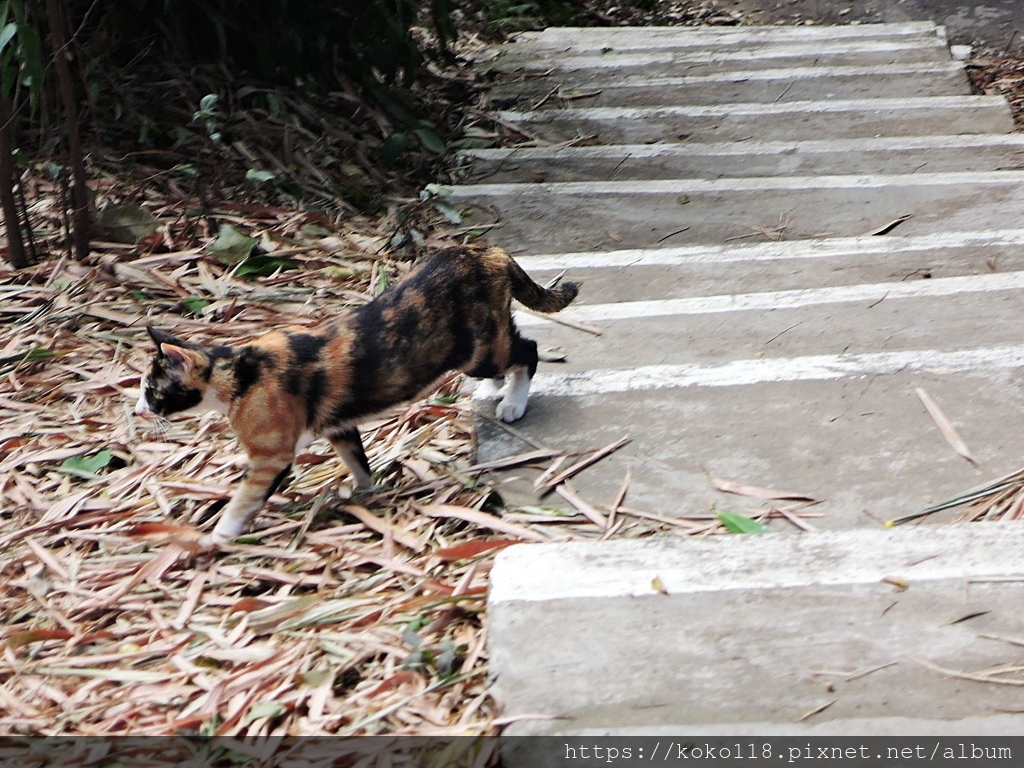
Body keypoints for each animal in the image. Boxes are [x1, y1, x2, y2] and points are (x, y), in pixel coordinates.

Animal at [134, 244, 577, 548]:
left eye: (152, 390)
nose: (138, 410)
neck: (241, 372)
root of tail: (487, 252)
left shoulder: (269, 456)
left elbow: (242, 499)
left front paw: (217, 536)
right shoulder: (338, 426)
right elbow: (357, 461)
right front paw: (364, 492)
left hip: (479, 352)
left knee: (528, 350)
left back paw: (513, 403)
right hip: (484, 348)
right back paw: (496, 389)